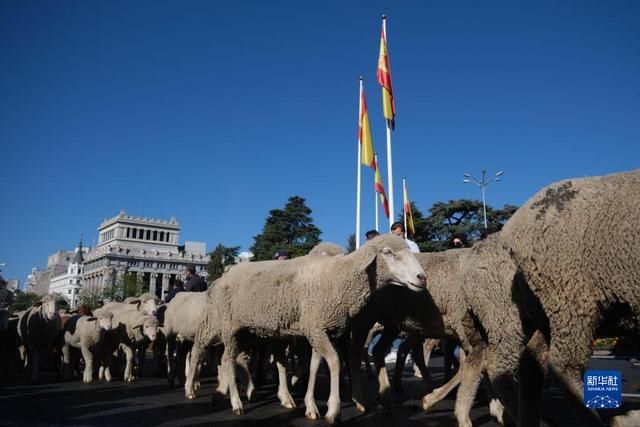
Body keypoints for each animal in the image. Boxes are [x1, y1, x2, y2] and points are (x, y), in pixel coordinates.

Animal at [212, 234, 428, 424]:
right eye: (388, 252)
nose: (422, 277)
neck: (336, 277)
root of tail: (227, 272)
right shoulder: (315, 329)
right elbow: (334, 362)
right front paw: (333, 411)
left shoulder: (321, 329)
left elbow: (315, 365)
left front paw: (310, 405)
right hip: (231, 328)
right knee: (228, 359)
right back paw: (236, 402)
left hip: (252, 331)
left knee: (252, 360)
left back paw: (272, 395)